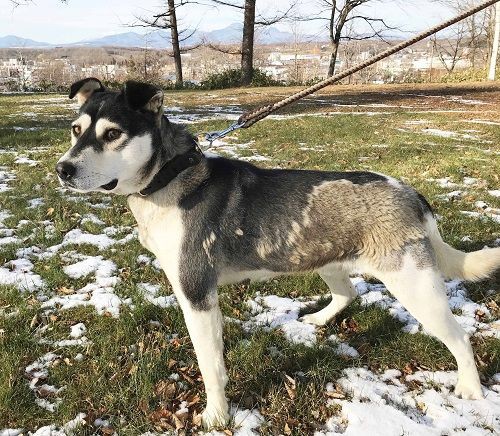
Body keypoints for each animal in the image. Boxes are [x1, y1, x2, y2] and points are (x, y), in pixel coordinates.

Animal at [55, 78, 500, 430]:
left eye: (112, 134)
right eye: (75, 130)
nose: (62, 170)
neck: (169, 176)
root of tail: (411, 194)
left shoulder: (197, 295)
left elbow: (210, 366)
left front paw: (216, 416)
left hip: (414, 285)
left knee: (459, 336)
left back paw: (470, 387)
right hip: (328, 260)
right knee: (348, 293)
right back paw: (318, 319)